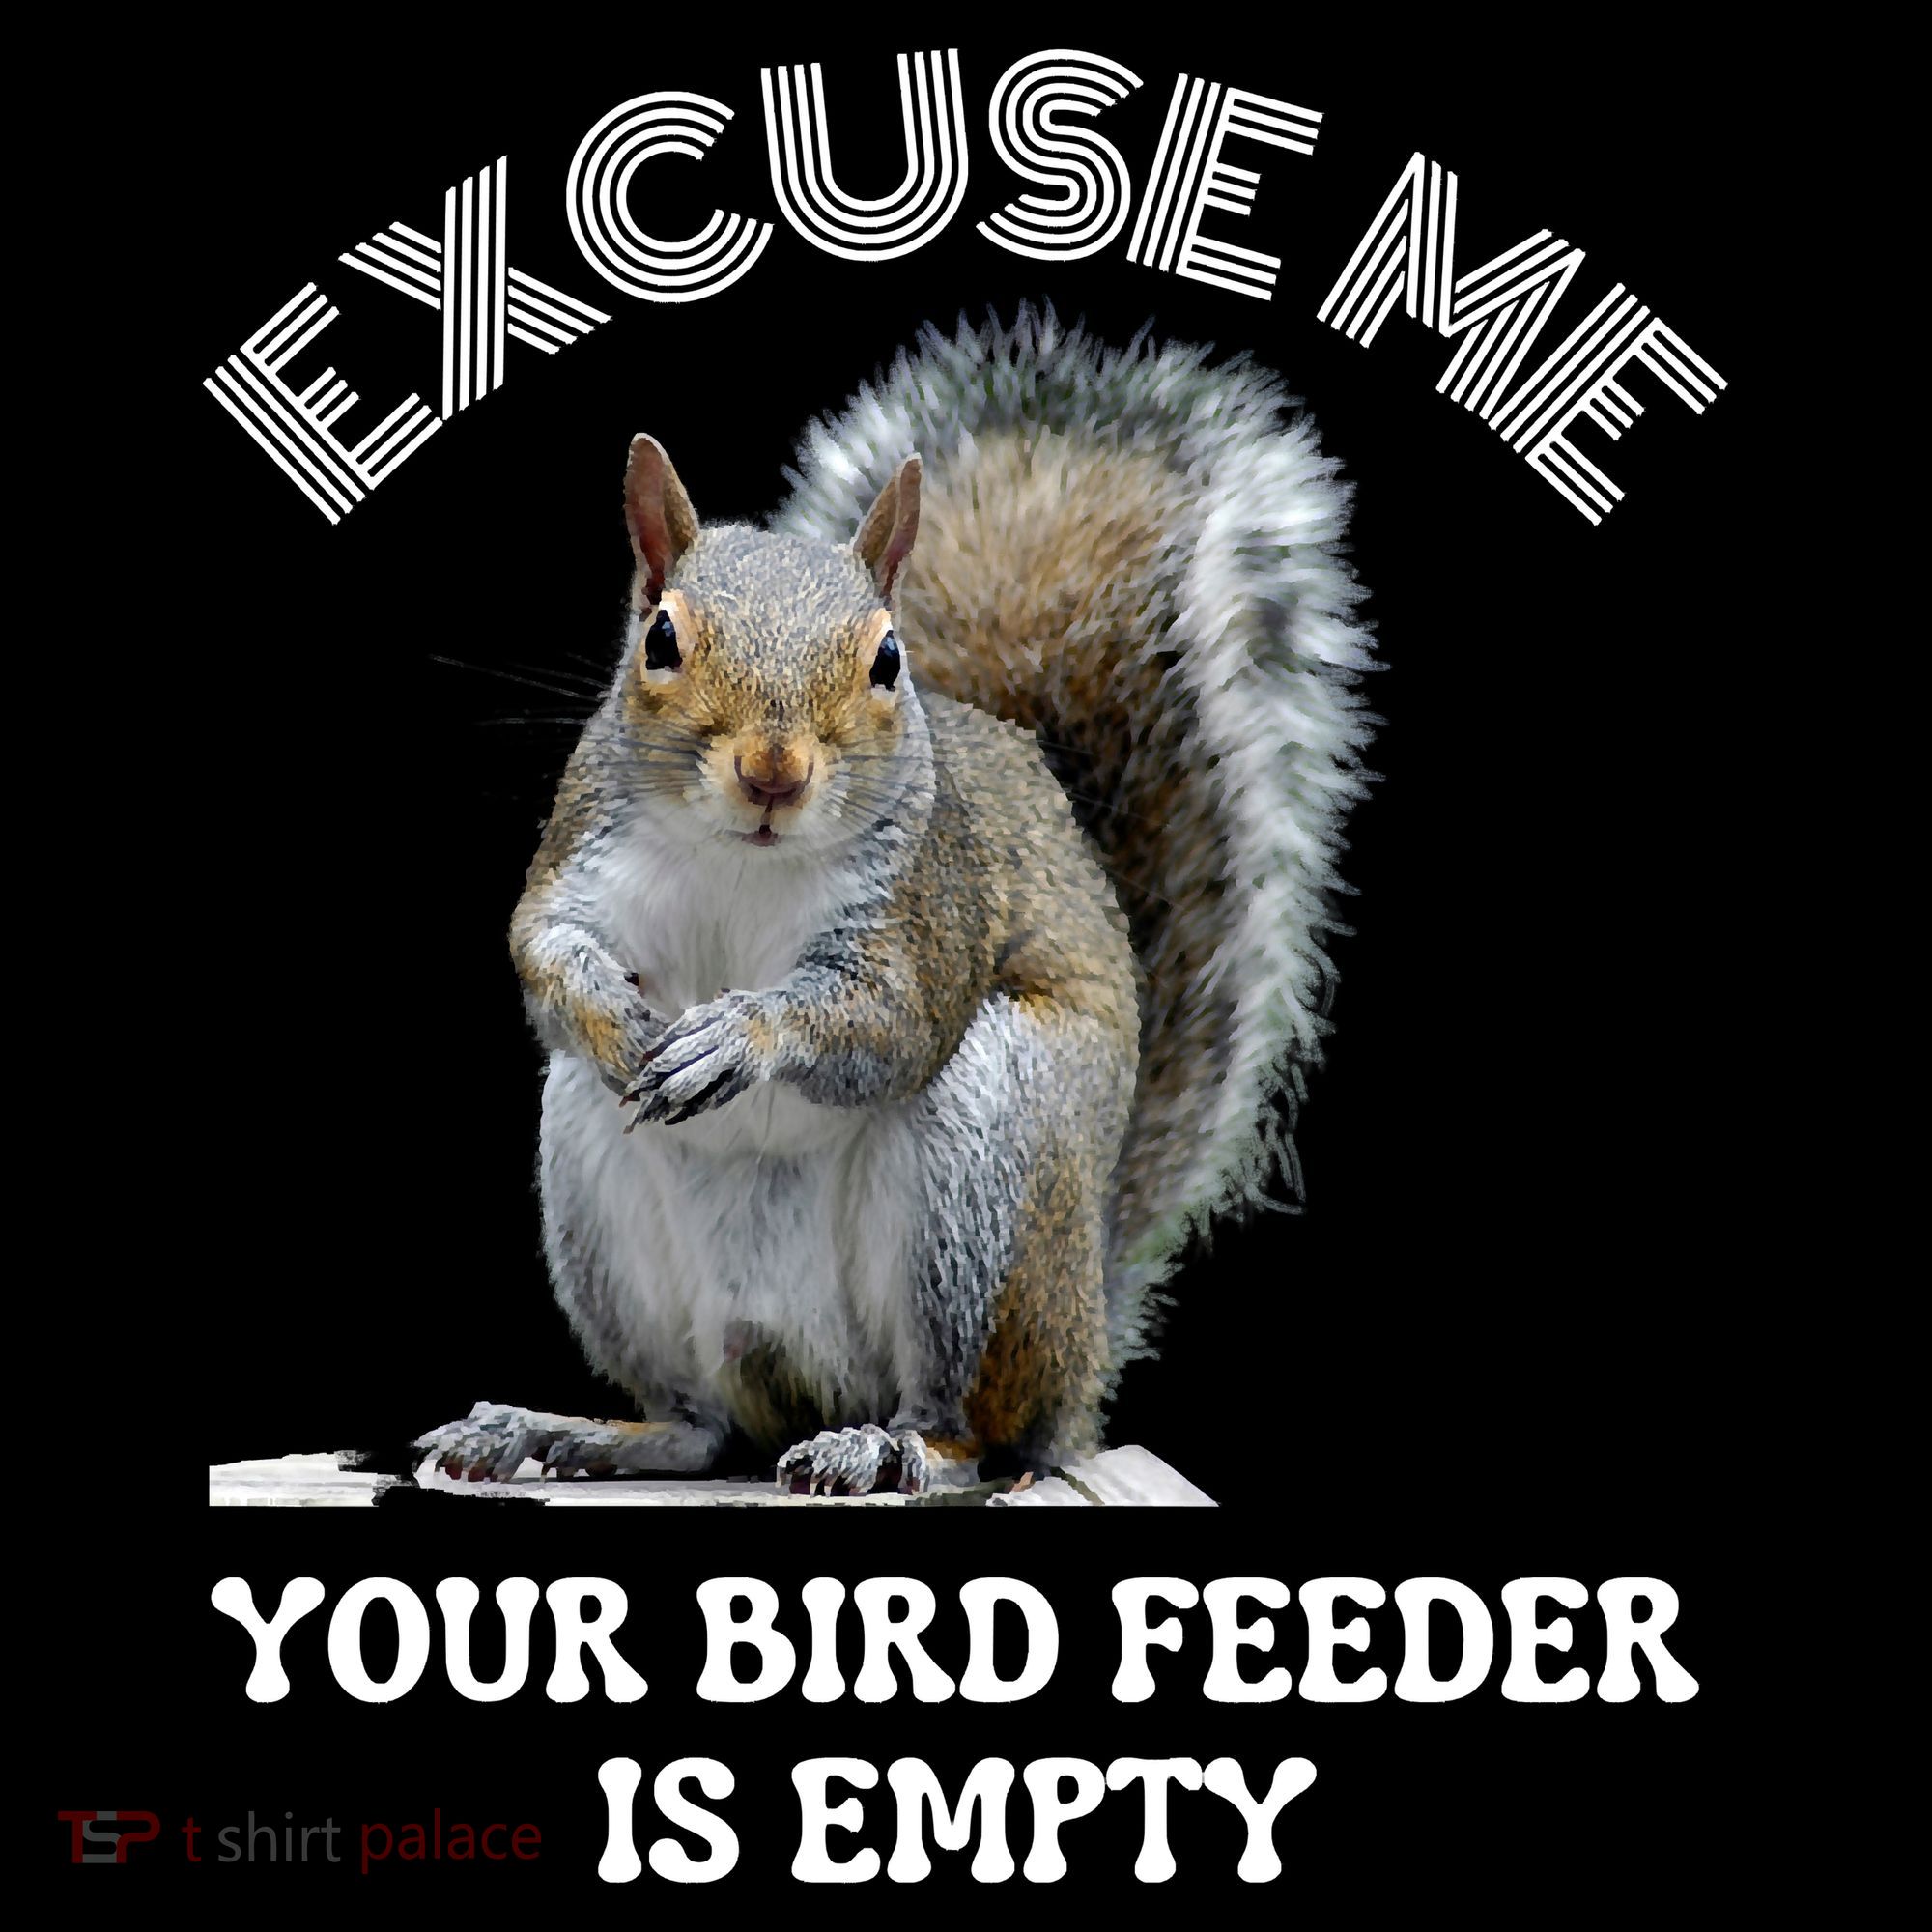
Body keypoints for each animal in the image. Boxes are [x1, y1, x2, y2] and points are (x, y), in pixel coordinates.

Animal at [415, 309, 1376, 1497]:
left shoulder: (927, 905)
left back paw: (888, 1443)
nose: (772, 772)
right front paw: (615, 1016)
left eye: (885, 658)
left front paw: (738, 1035)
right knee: (698, 1424)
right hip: (597, 1185)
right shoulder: (584, 853)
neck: (745, 857)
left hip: (985, 1168)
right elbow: (543, 945)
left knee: (973, 1425)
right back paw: (565, 1431)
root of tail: (1082, 1349)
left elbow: (891, 1019)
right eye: (660, 639)